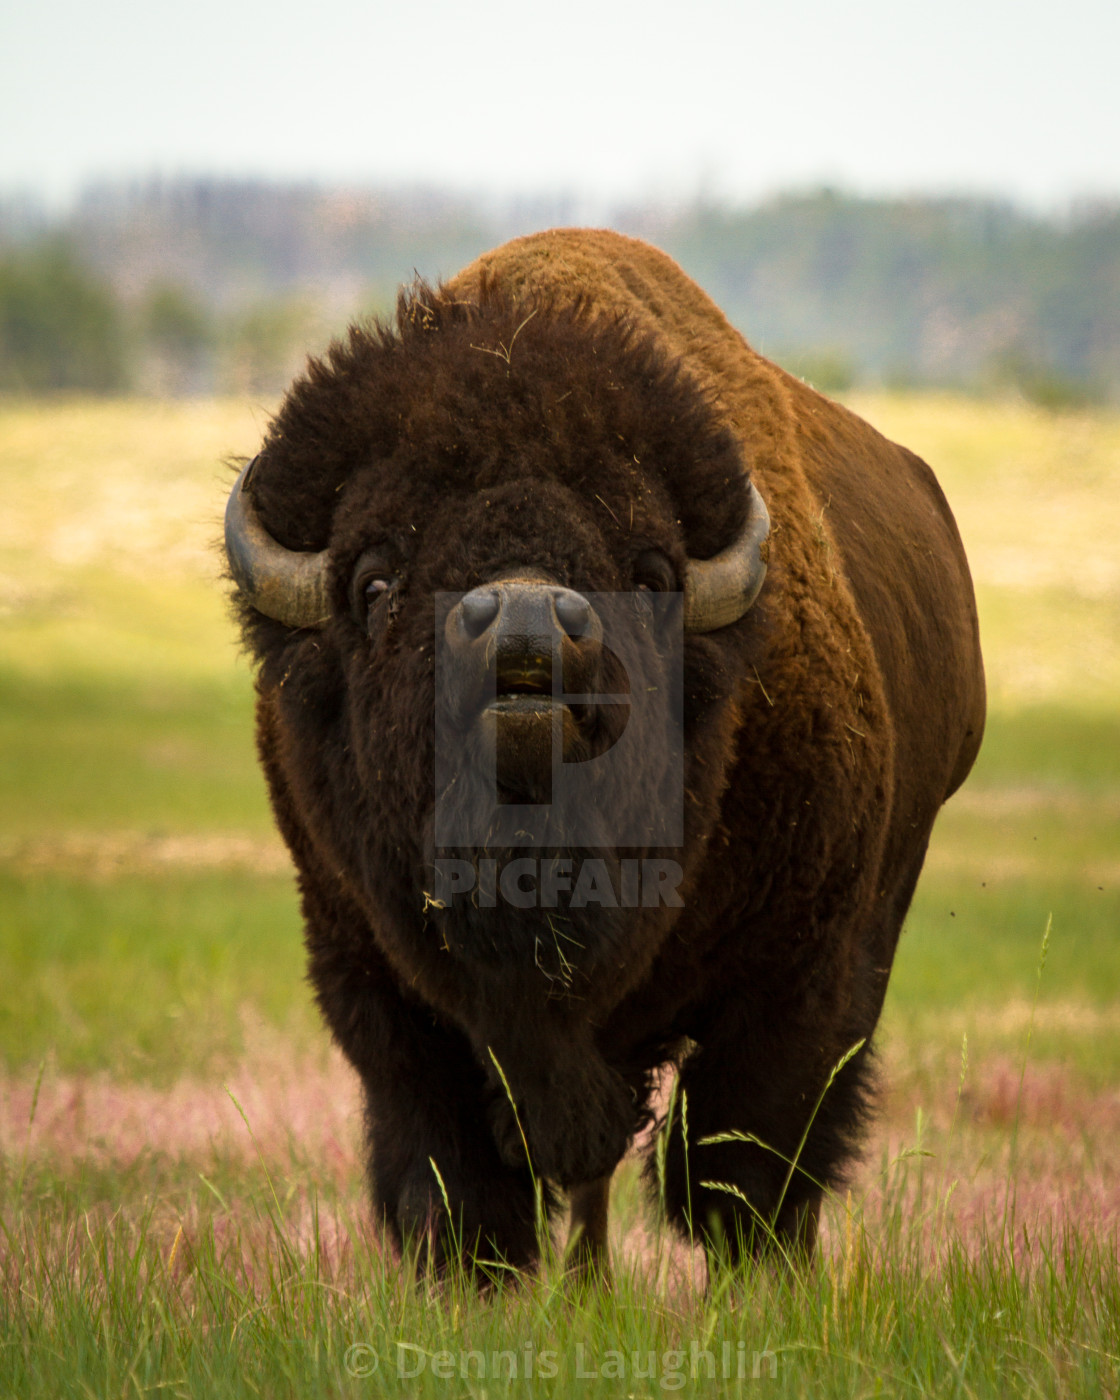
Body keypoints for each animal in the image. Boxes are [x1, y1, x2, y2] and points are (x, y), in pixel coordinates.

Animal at [222, 229, 985, 1282]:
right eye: (373, 581)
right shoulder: (373, 980)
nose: (527, 625)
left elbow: (739, 1174)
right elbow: (454, 1189)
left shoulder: (801, 978)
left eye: (650, 576)